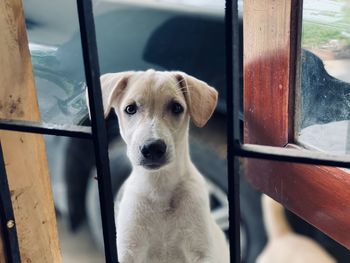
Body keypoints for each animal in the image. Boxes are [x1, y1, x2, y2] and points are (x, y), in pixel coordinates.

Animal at [98, 70, 230, 263]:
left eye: (176, 108)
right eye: (130, 109)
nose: (153, 147)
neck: (159, 187)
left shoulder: (203, 251)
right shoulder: (128, 250)